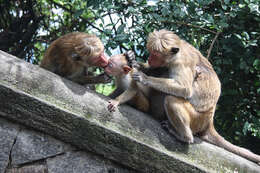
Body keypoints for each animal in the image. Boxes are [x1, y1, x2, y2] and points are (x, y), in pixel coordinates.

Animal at [132, 29, 260, 164]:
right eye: (151, 52)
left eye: (155, 55)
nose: (150, 58)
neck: (177, 54)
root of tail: (209, 121)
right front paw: (138, 64)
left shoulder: (180, 63)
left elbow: (185, 89)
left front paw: (145, 78)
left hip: (197, 119)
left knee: (171, 98)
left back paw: (185, 137)